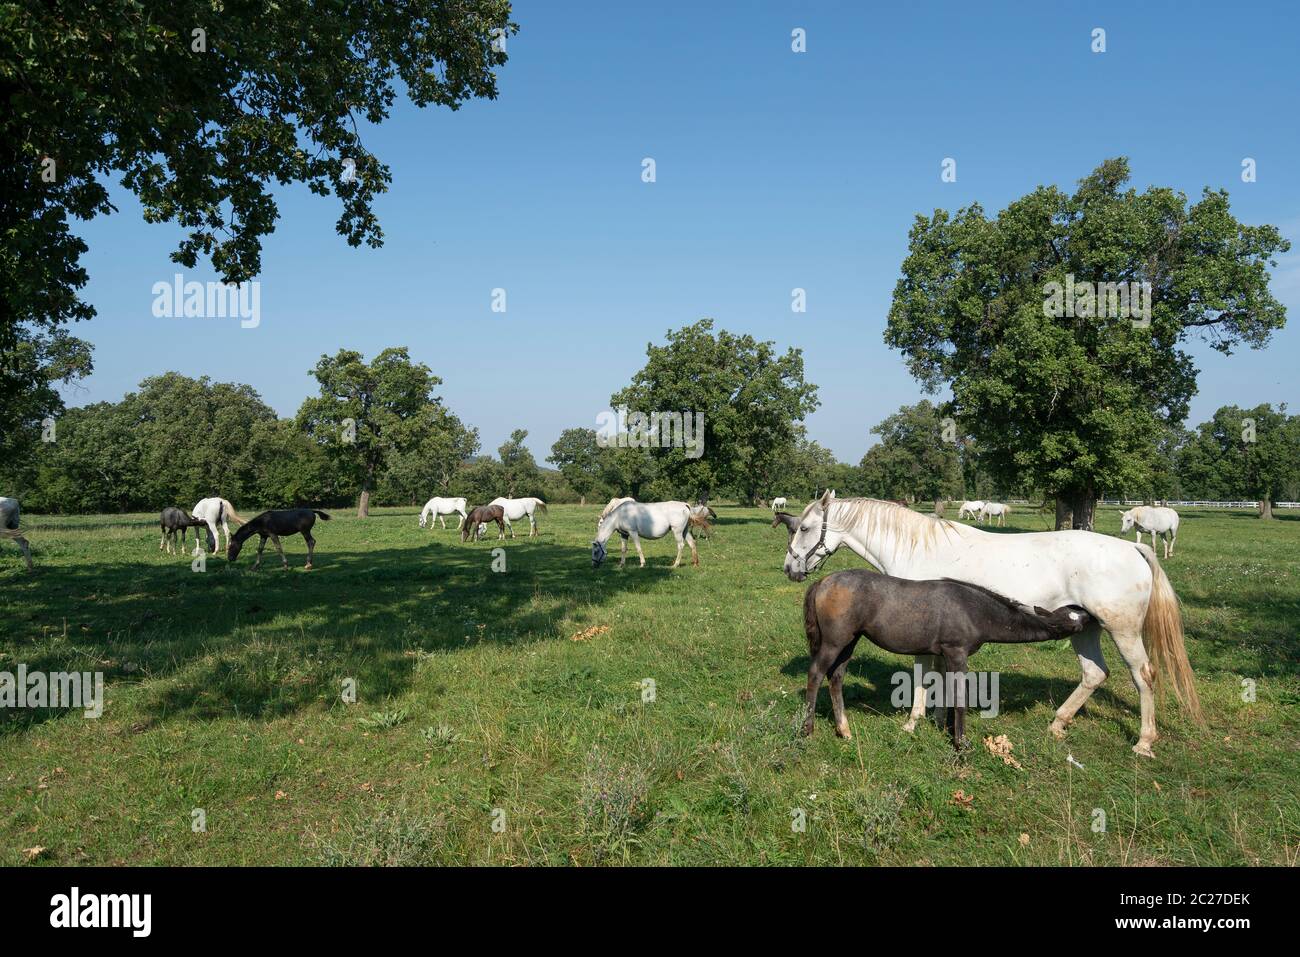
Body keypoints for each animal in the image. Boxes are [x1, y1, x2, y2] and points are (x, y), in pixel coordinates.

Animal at [802, 569, 1094, 745]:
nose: (1092, 616)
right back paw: (807, 730)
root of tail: (823, 581)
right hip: (834, 641)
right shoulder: (956, 652)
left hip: (850, 641)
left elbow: (944, 693)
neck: (974, 611)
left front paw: (944, 728)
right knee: (816, 673)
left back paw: (844, 730)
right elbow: (959, 697)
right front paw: (961, 742)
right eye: (1074, 621)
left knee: (836, 677)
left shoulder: (944, 655)